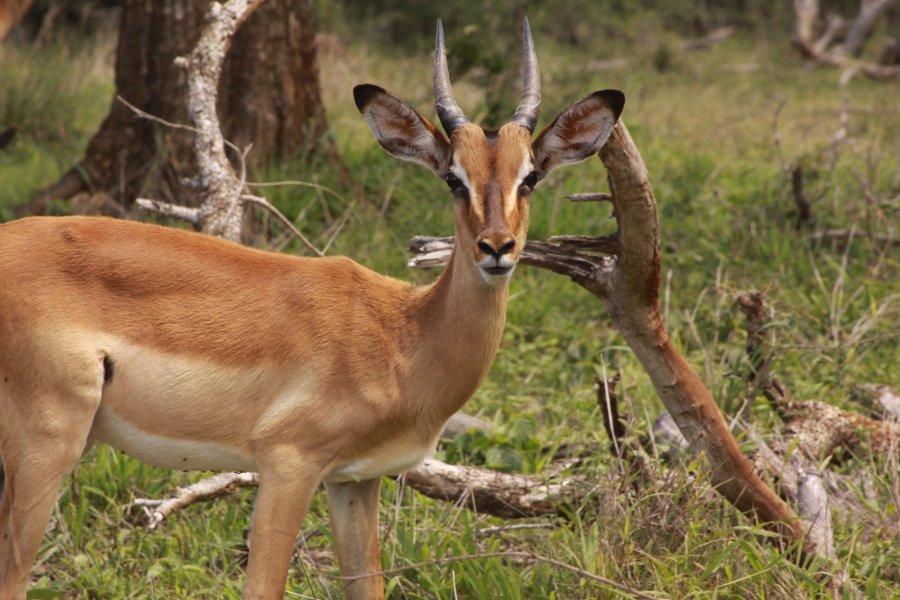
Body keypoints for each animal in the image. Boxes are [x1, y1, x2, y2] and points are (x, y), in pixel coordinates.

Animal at [0, 19, 623, 600]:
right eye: (453, 177)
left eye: (531, 176)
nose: (497, 248)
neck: (402, 336)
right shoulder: (288, 464)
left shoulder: (354, 480)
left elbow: (367, 584)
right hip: (47, 443)